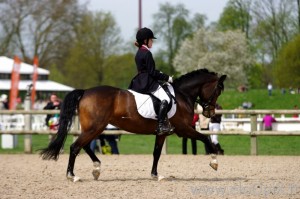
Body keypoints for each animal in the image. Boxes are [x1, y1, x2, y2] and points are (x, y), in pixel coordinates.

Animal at [41, 69, 226, 182]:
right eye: (218, 90)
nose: (210, 113)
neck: (181, 95)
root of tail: (85, 92)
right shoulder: (184, 129)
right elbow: (206, 139)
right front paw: (214, 162)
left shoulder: (162, 133)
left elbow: (156, 153)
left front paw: (155, 175)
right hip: (95, 127)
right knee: (75, 147)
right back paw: (73, 176)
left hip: (95, 128)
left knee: (84, 146)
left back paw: (96, 168)